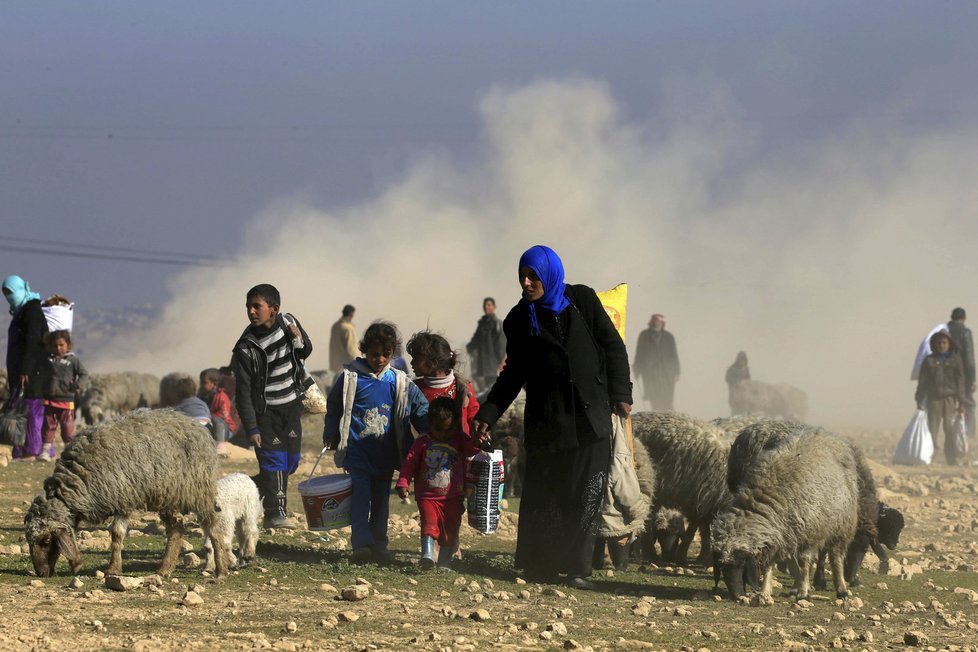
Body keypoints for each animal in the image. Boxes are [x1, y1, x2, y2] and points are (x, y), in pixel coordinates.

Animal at [23, 410, 230, 580]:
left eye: (46, 540)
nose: (41, 573)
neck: (78, 481)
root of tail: (198, 426)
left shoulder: (123, 499)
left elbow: (117, 534)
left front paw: (113, 569)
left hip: (198, 490)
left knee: (213, 525)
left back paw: (220, 570)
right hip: (167, 495)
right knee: (177, 529)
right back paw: (164, 570)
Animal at [624, 412, 732, 564]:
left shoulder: (704, 504)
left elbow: (701, 529)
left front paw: (702, 557)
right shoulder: (701, 501)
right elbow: (699, 530)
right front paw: (697, 557)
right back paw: (651, 556)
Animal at [704, 428, 856, 600]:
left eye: (741, 563)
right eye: (721, 566)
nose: (737, 595)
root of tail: (824, 435)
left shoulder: (808, 535)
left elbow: (804, 563)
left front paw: (803, 592)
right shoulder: (778, 536)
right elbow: (769, 564)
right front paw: (765, 592)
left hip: (842, 526)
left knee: (836, 558)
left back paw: (841, 589)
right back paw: (795, 587)